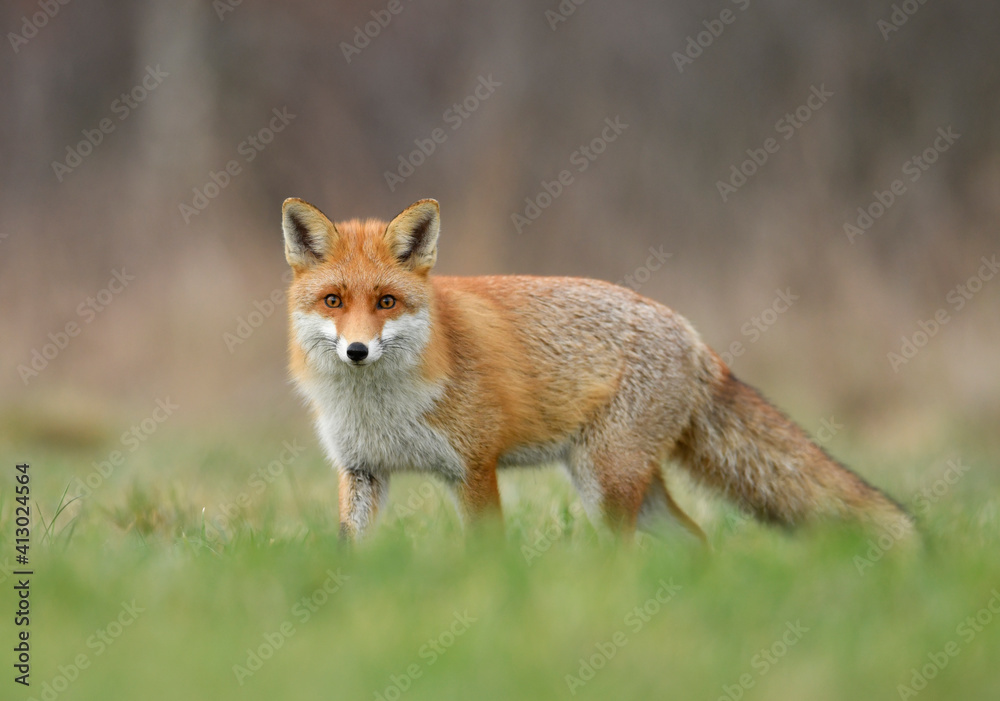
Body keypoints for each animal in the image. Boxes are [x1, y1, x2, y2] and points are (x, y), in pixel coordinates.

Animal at [282, 197, 916, 540]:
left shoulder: (475, 468)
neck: (379, 405)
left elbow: (488, 553)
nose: (357, 351)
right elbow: (348, 550)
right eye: (334, 301)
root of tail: (692, 335)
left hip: (604, 482)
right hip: (622, 481)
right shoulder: (363, 471)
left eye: (386, 302)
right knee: (696, 539)